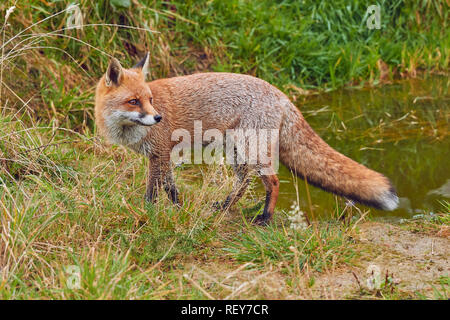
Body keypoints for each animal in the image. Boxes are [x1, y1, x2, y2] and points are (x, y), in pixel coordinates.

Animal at [95, 53, 398, 225]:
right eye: (134, 101)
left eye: (149, 100)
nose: (157, 118)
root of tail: (282, 95)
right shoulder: (163, 156)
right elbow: (171, 189)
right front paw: (179, 209)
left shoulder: (158, 154)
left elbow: (153, 192)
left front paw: (148, 213)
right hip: (237, 152)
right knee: (242, 184)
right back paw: (225, 207)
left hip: (252, 151)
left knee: (273, 182)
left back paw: (265, 218)